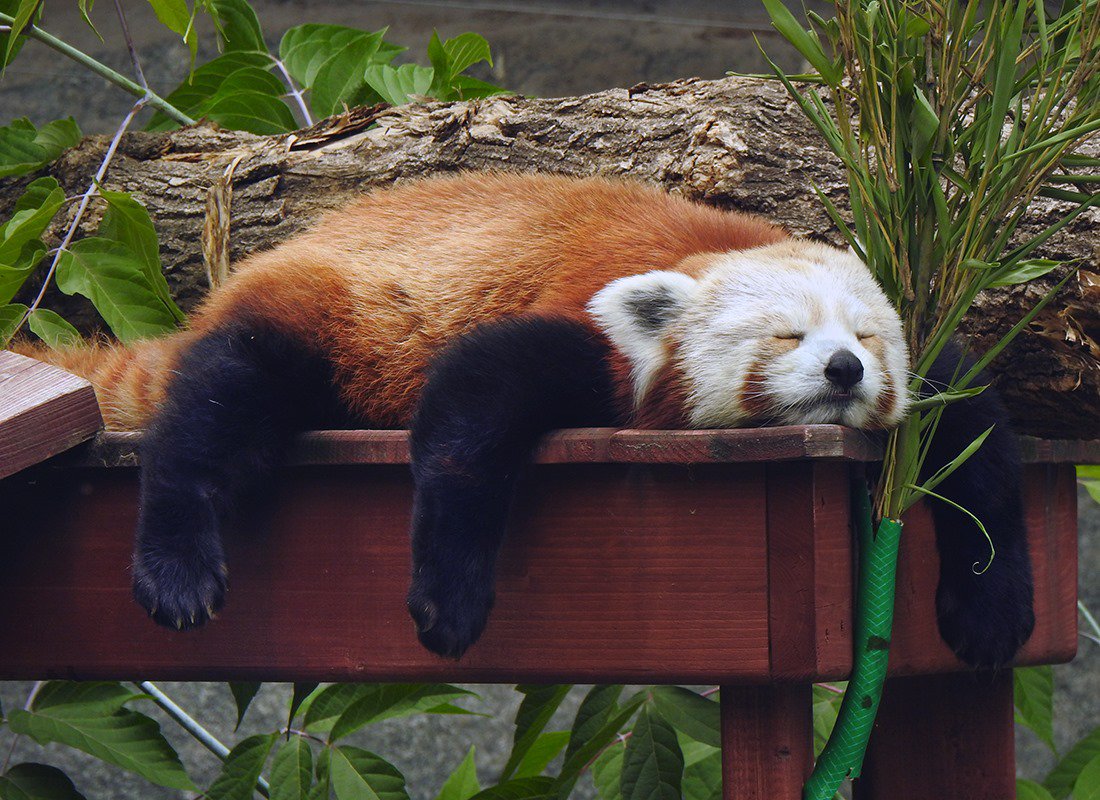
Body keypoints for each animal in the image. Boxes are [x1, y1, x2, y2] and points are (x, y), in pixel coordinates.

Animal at [15, 172, 1034, 668]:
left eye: (865, 337)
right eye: (787, 335)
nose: (843, 369)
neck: (713, 248)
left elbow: (977, 442)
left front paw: (991, 611)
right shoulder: (588, 326)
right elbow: (470, 415)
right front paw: (451, 596)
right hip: (318, 319)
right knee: (218, 402)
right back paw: (177, 561)